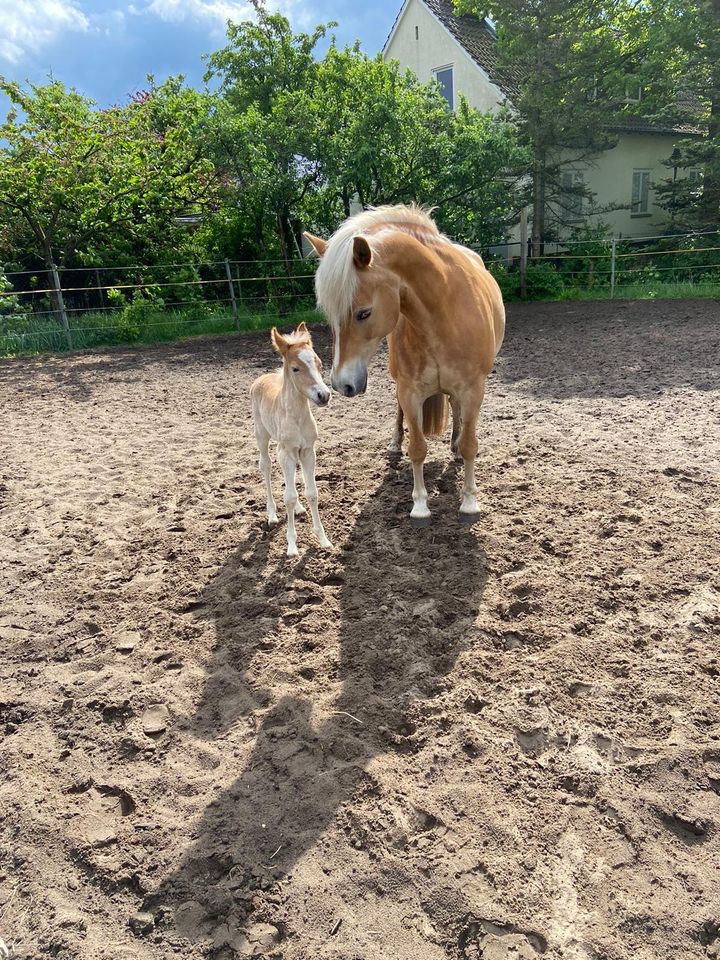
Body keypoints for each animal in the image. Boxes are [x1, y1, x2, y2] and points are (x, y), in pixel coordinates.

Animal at [252, 322, 334, 556]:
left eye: (319, 363)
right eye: (296, 368)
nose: (324, 395)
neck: (296, 416)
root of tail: (262, 378)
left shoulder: (307, 451)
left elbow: (312, 493)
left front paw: (323, 539)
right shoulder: (286, 451)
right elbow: (288, 497)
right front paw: (291, 546)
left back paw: (298, 509)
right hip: (262, 435)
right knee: (266, 465)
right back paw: (271, 515)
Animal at [306, 203, 506, 528]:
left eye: (364, 313)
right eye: (329, 315)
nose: (340, 384)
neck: (442, 312)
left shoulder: (474, 389)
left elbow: (470, 444)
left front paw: (469, 501)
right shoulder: (410, 391)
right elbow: (418, 448)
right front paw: (420, 506)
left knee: (457, 412)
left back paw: (454, 447)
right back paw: (394, 443)